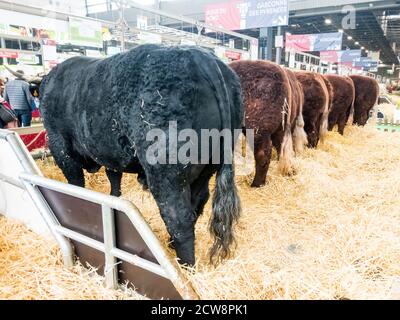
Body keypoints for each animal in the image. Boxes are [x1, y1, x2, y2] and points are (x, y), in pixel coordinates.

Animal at [39, 44, 244, 264]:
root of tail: (203, 57)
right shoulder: (111, 153)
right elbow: (114, 179)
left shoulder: (60, 146)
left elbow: (76, 184)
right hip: (207, 168)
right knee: (197, 203)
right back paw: (172, 245)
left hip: (167, 172)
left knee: (179, 219)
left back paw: (185, 265)